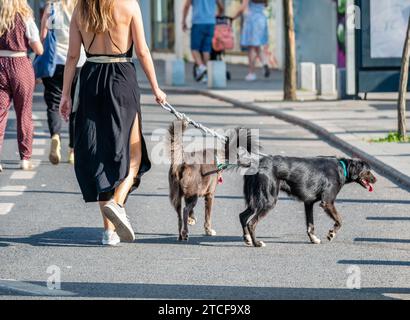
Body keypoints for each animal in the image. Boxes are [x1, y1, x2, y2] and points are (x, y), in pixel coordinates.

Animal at [240, 156, 378, 246]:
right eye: (368, 171)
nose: (376, 180)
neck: (341, 168)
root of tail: (257, 164)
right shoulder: (327, 202)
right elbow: (339, 220)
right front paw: (331, 234)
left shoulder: (308, 203)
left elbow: (310, 225)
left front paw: (314, 239)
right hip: (269, 200)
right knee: (251, 223)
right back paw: (256, 243)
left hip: (256, 200)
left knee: (242, 216)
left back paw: (247, 239)